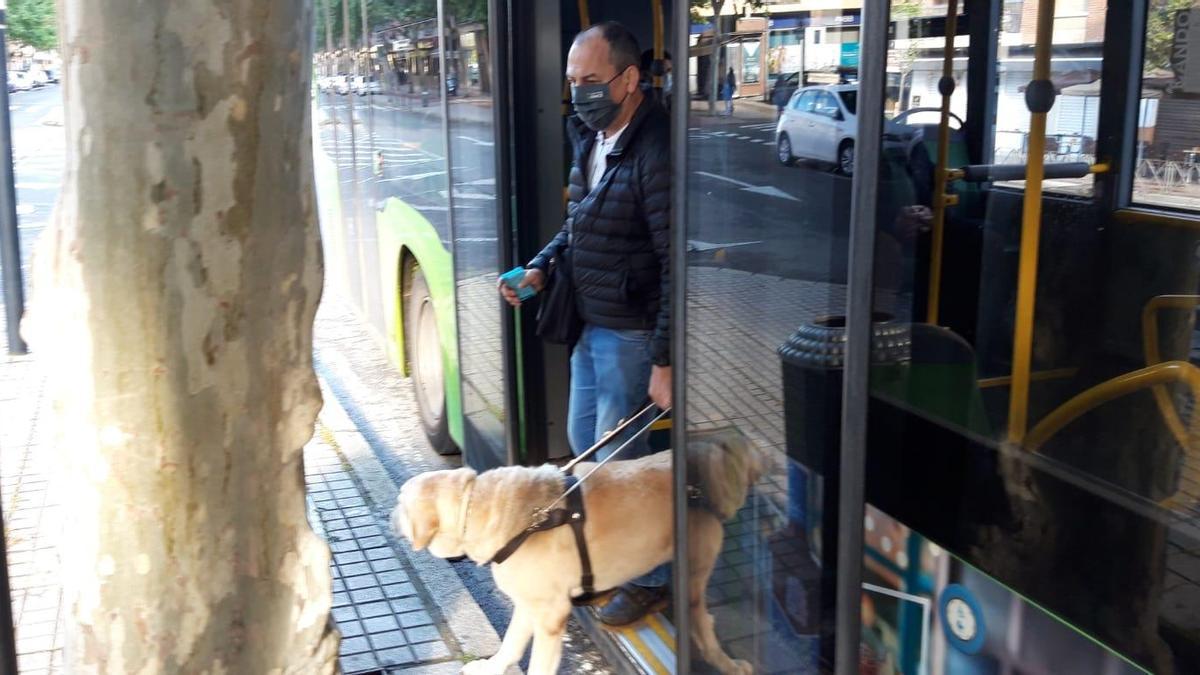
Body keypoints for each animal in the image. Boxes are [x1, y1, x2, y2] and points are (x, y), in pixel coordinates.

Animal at [388, 427, 758, 667]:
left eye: (401, 504)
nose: (388, 519)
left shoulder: (551, 615)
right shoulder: (528, 603)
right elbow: (511, 644)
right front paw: (492, 667)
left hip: (694, 570)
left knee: (703, 623)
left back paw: (726, 663)